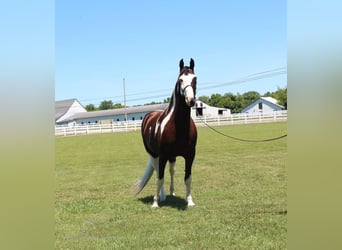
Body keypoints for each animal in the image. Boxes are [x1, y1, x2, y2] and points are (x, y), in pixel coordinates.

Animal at [134, 58, 198, 207]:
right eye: (180, 79)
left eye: (195, 78)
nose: (190, 100)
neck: (178, 126)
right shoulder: (162, 155)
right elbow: (160, 178)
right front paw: (155, 203)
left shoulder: (190, 155)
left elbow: (188, 178)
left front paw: (189, 201)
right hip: (154, 155)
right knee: (159, 172)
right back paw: (161, 196)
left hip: (171, 157)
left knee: (171, 171)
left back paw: (171, 192)